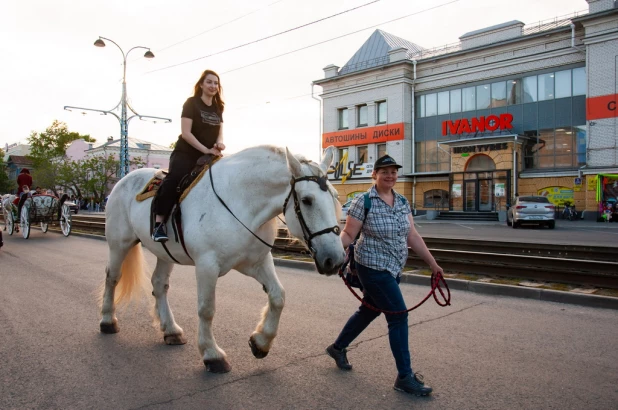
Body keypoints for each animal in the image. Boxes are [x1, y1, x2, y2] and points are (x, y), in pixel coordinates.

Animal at [100, 146, 342, 374]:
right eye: (307, 200)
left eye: (335, 198)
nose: (336, 259)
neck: (240, 202)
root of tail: (125, 179)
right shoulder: (206, 266)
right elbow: (206, 309)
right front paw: (212, 354)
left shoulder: (257, 262)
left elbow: (278, 297)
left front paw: (261, 342)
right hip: (119, 244)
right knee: (113, 278)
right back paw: (107, 321)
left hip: (164, 254)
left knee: (159, 285)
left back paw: (171, 330)